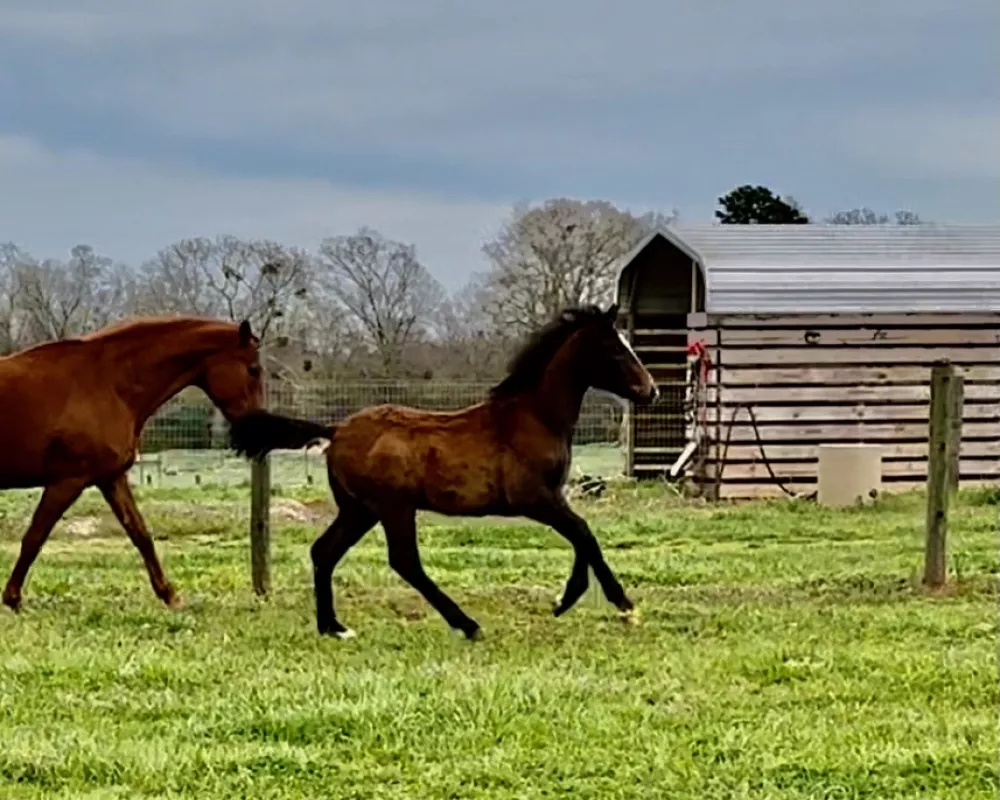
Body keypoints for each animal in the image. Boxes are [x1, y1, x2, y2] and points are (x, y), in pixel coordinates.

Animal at [0, 316, 264, 608]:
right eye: (253, 369)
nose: (259, 430)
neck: (107, 383)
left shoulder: (111, 478)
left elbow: (141, 534)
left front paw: (170, 596)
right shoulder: (67, 482)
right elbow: (35, 537)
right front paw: (12, 598)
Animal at [230, 304, 660, 640]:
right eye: (615, 349)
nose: (651, 390)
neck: (534, 417)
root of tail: (335, 430)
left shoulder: (552, 498)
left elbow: (581, 537)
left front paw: (566, 599)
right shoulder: (536, 498)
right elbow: (584, 534)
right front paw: (620, 604)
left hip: (359, 510)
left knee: (325, 551)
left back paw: (333, 627)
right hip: (394, 508)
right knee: (404, 561)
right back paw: (467, 624)